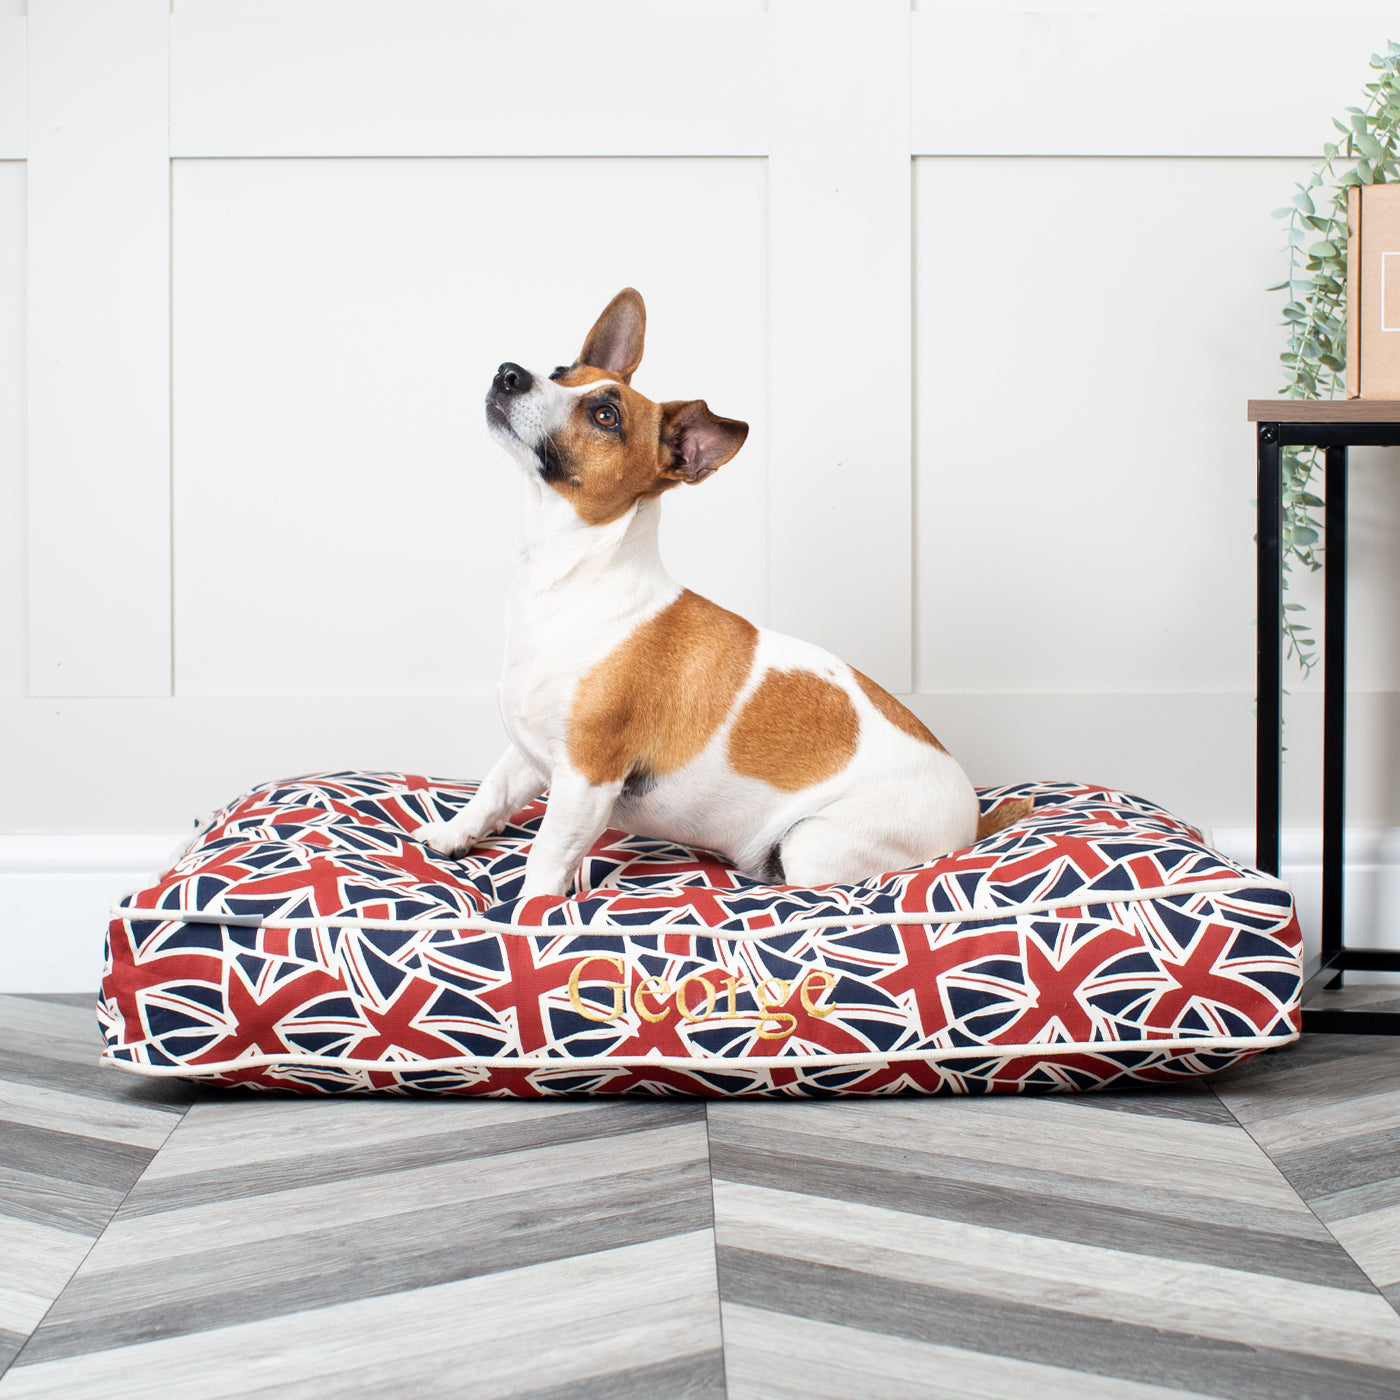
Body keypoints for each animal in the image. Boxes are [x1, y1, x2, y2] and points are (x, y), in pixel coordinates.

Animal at [411, 288, 1008, 896]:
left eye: (606, 416)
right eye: (559, 372)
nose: (509, 373)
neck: (571, 576)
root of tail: (973, 819)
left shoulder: (585, 777)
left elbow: (547, 855)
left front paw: (533, 909)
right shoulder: (529, 752)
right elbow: (493, 791)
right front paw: (453, 835)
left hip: (813, 845)